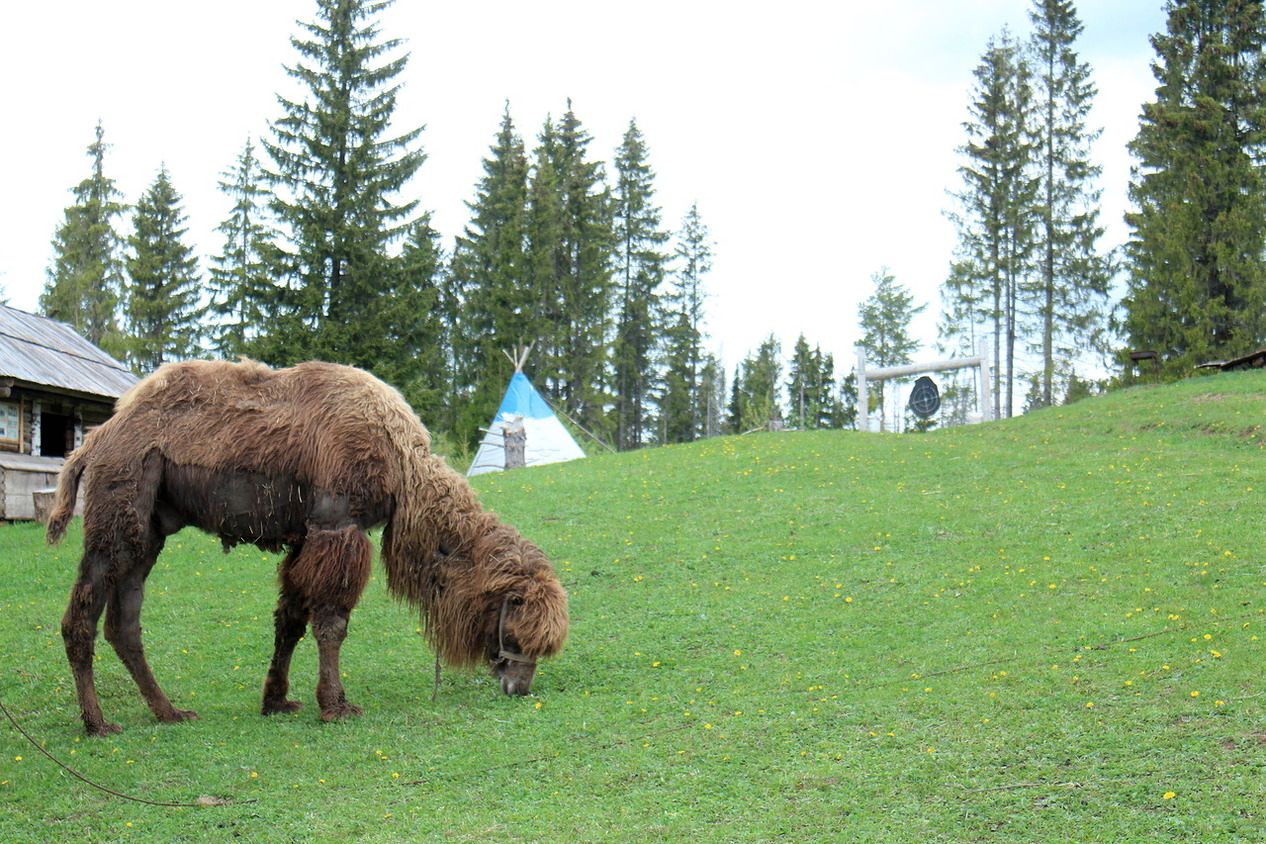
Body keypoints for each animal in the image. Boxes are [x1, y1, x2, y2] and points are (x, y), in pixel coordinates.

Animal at [45, 359, 569, 733]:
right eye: (516, 634)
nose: (519, 686)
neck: (400, 466)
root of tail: (92, 442)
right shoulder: (337, 525)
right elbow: (331, 622)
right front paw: (336, 705)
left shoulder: (305, 537)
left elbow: (290, 620)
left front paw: (276, 700)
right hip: (120, 509)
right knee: (82, 616)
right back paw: (97, 723)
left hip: (150, 528)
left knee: (123, 622)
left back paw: (169, 712)